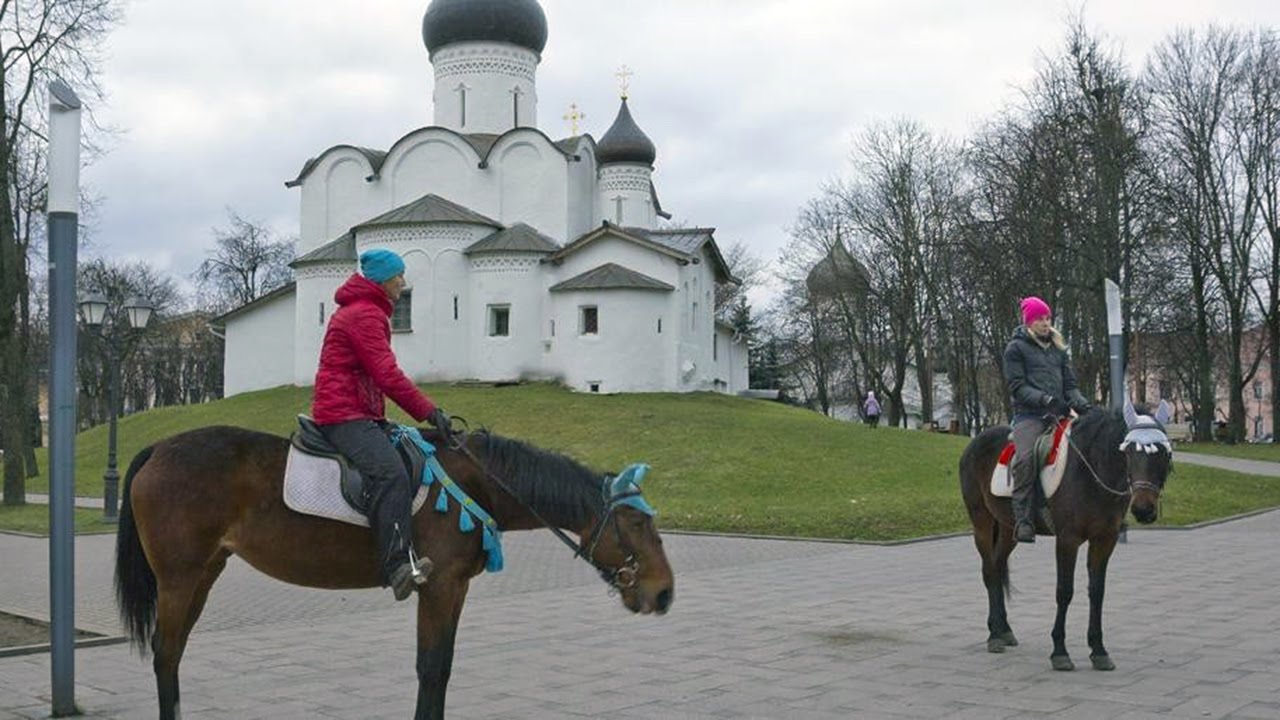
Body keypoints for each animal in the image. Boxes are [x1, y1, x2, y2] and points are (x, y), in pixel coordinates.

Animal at [111, 422, 675, 712]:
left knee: (173, 653)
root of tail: (158, 448)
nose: (664, 592)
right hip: (180, 577)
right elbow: (431, 668)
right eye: (635, 522)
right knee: (166, 653)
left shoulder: (454, 589)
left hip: (204, 573)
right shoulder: (438, 587)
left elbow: (442, 668)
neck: (474, 482)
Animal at [962, 399, 1172, 671]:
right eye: (1128, 452)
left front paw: (1098, 650)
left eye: (1165, 454)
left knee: (998, 568)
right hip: (982, 523)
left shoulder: (1105, 540)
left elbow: (1097, 591)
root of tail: (976, 441)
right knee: (989, 572)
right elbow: (1064, 591)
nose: (1144, 509)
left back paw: (1004, 629)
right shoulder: (1067, 540)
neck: (1090, 470)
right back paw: (994, 637)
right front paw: (1060, 651)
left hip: (1009, 528)